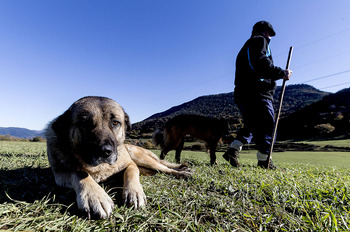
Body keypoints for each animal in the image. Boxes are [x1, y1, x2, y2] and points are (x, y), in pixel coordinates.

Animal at [45, 96, 193, 219]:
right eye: (84, 122)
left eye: (115, 123)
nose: (105, 152)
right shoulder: (60, 174)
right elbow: (79, 173)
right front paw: (95, 196)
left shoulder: (130, 164)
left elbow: (130, 172)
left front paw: (134, 192)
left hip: (141, 158)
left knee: (165, 168)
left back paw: (182, 172)